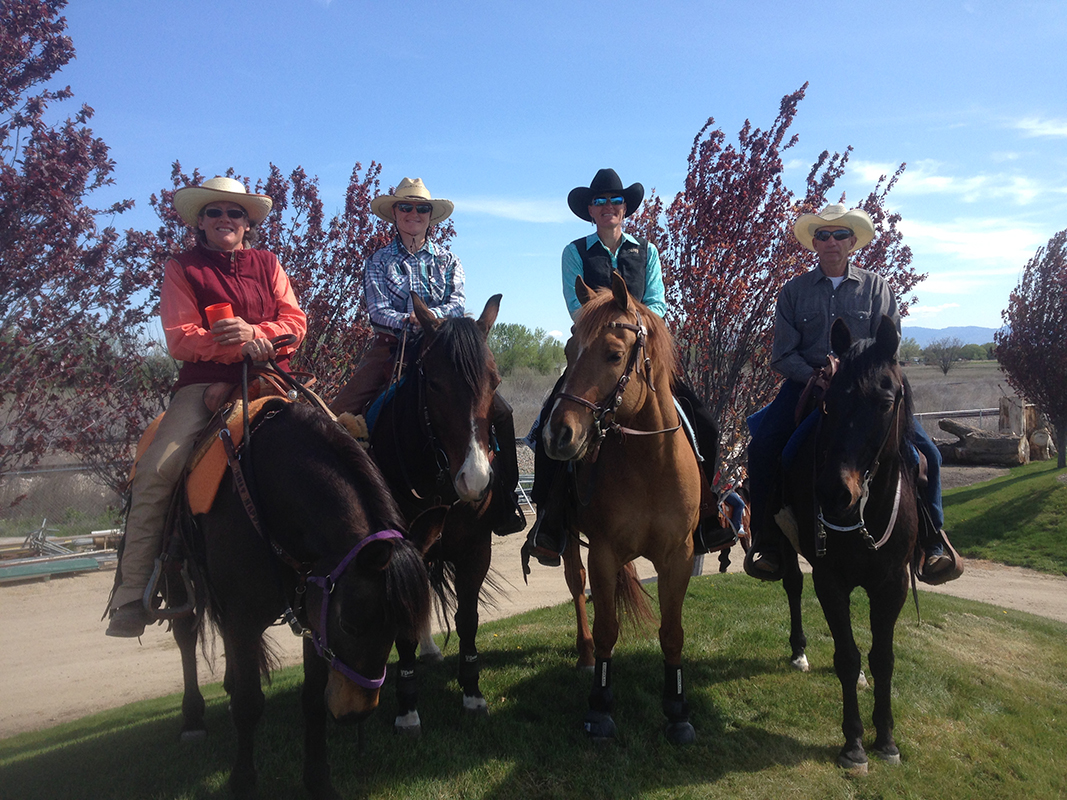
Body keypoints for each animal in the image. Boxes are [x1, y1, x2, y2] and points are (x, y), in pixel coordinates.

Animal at [167, 401, 433, 800]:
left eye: (400, 628)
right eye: (349, 624)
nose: (356, 713)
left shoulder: (312, 615)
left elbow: (312, 701)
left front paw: (318, 780)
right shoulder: (245, 617)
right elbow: (248, 704)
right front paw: (242, 781)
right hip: (177, 581)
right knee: (185, 635)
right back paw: (192, 719)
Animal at [369, 292, 505, 733]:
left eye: (495, 381)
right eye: (433, 382)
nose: (475, 480)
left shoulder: (476, 551)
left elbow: (468, 619)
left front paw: (473, 693)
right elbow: (403, 631)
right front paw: (407, 708)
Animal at [546, 275, 704, 746]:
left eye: (614, 355)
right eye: (568, 351)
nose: (558, 435)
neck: (650, 461)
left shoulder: (678, 556)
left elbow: (672, 633)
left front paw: (677, 711)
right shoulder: (603, 552)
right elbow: (606, 630)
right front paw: (599, 707)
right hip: (570, 541)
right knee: (576, 586)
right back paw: (583, 655)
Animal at [768, 315, 926, 772]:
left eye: (886, 402)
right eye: (828, 403)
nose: (835, 493)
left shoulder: (891, 584)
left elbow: (882, 658)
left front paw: (887, 739)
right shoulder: (830, 578)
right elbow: (846, 654)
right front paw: (854, 744)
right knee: (793, 586)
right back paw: (799, 652)